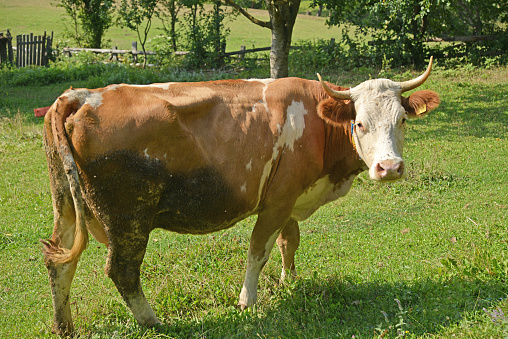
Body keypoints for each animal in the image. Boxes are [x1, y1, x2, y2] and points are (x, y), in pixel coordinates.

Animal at [42, 57, 440, 336]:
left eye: (402, 121)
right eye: (359, 123)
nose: (389, 167)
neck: (318, 122)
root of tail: (82, 95)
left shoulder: (290, 198)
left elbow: (289, 241)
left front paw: (288, 282)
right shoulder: (277, 200)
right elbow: (258, 251)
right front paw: (248, 302)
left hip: (67, 207)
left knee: (59, 260)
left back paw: (64, 326)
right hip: (129, 218)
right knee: (122, 270)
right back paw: (153, 321)